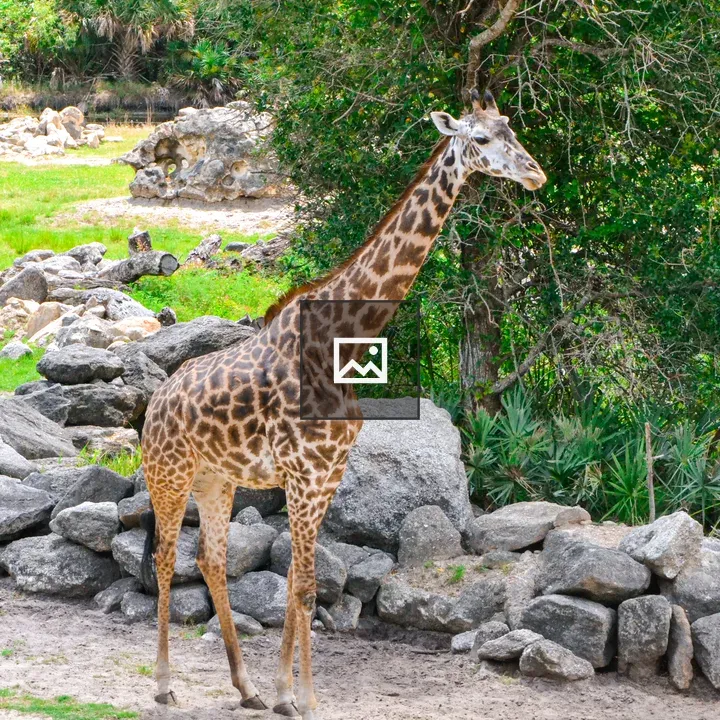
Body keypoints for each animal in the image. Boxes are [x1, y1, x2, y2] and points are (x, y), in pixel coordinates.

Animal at [140, 89, 546, 720]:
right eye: (480, 139)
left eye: (512, 129)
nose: (535, 173)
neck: (345, 338)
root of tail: (153, 404)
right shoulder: (303, 474)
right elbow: (305, 587)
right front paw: (305, 698)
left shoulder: (327, 474)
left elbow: (301, 582)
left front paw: (284, 694)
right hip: (169, 473)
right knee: (164, 558)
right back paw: (163, 684)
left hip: (217, 480)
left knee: (210, 560)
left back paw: (246, 688)